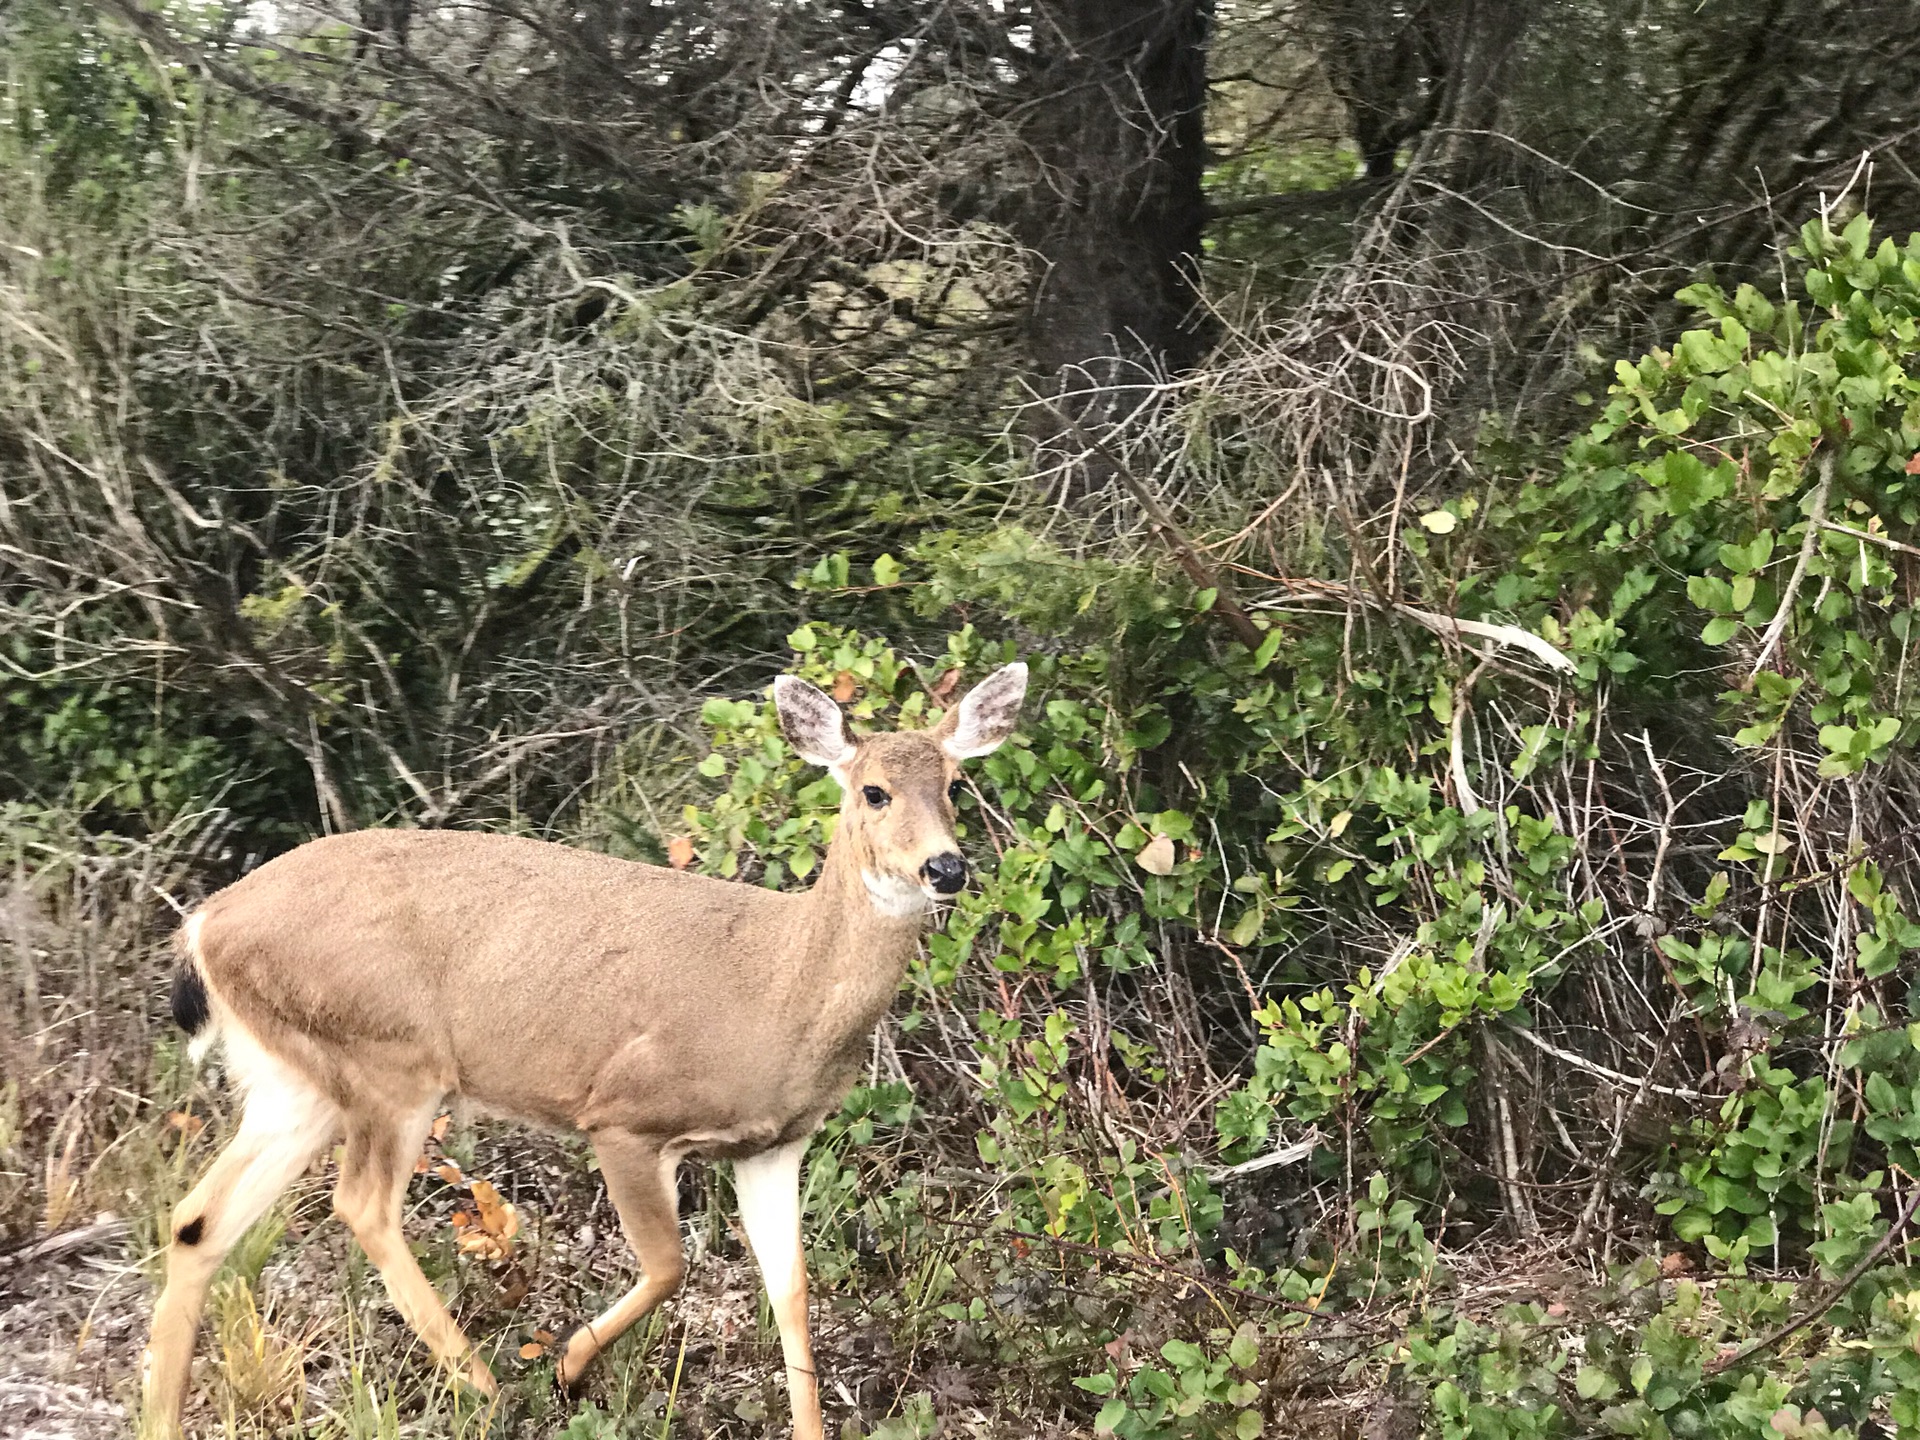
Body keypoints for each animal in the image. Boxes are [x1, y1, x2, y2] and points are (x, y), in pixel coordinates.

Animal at [140, 664, 1029, 1440]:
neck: (782, 990)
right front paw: (569, 1364)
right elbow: (671, 1265)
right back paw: (485, 1385)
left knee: (198, 1219)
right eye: (873, 791)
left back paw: (162, 1416)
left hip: (298, 1081)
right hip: (390, 1061)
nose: (946, 866)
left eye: (955, 785)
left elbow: (793, 1292)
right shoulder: (625, 1116)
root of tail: (204, 924)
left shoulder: (773, 1144)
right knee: (359, 1203)